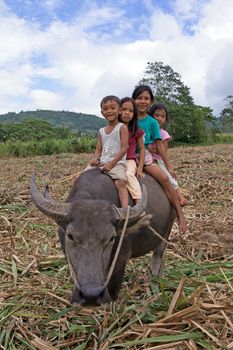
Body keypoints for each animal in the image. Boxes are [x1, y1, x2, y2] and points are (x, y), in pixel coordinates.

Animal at [30, 168, 176, 304]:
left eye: (111, 238)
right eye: (70, 236)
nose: (91, 295)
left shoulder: (120, 260)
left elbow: (112, 291)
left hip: (166, 231)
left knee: (158, 257)